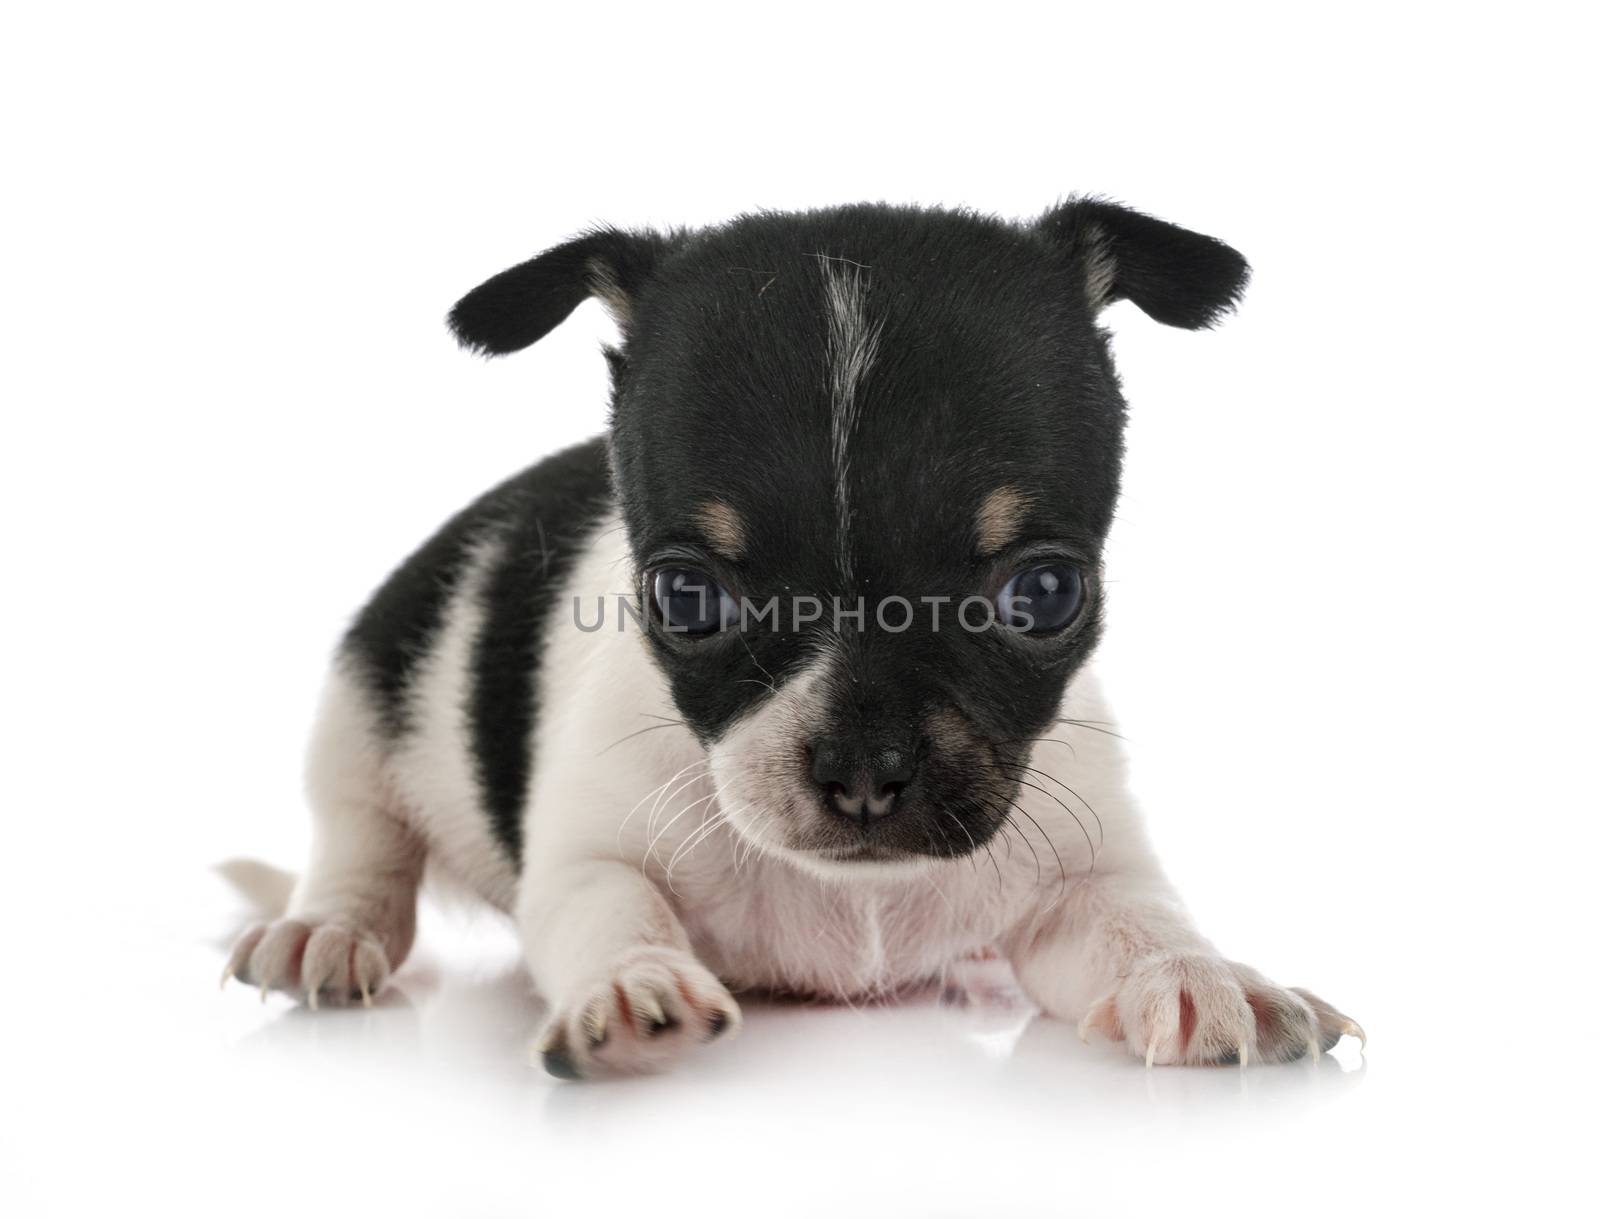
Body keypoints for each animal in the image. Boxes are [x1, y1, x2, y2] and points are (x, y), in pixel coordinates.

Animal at [225, 196, 1363, 1075]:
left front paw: (1202, 973)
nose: (864, 770)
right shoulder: (588, 856)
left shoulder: (1081, 879)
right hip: (369, 704)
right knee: (363, 841)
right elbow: (611, 910)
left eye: (1045, 591)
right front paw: (633, 986)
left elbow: (1134, 921)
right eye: (685, 597)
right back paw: (324, 932)